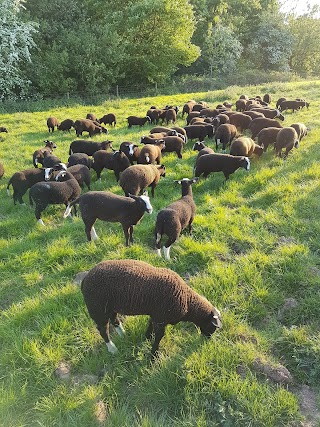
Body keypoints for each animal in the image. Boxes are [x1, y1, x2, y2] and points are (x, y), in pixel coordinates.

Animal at [78, 260, 222, 358]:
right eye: (213, 326)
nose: (207, 339)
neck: (187, 301)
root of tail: (84, 280)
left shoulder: (156, 314)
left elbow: (150, 325)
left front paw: (147, 337)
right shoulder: (161, 317)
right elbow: (159, 336)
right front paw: (153, 354)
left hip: (111, 307)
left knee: (115, 321)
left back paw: (123, 335)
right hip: (97, 308)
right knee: (103, 330)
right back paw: (113, 349)